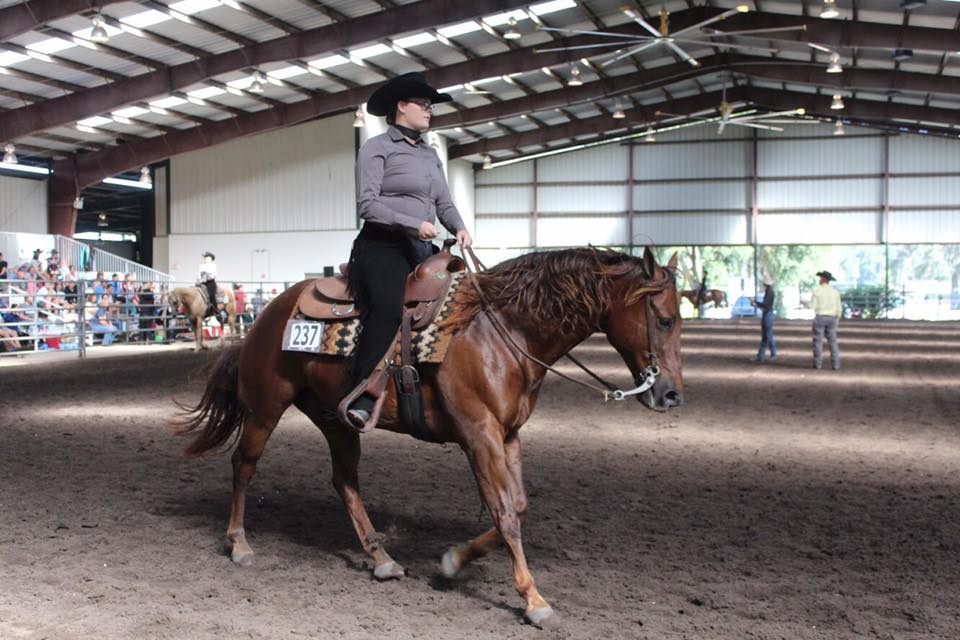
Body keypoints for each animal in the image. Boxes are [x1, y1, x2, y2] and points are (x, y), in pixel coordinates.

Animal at [172, 246, 684, 624]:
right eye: (664, 320)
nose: (671, 394)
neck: (503, 330)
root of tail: (269, 313)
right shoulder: (479, 435)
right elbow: (505, 513)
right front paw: (533, 599)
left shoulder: (509, 434)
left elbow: (517, 507)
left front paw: (454, 561)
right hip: (265, 406)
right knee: (244, 465)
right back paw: (239, 543)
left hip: (337, 419)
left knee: (345, 481)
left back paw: (381, 558)